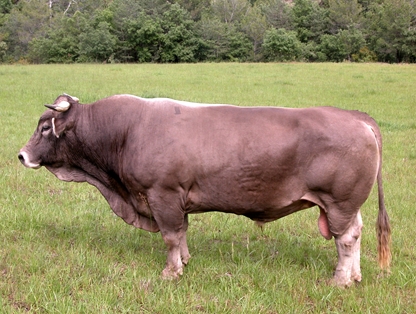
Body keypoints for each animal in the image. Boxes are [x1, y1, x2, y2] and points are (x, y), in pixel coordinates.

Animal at [18, 94, 390, 288]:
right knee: (356, 233)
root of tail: (356, 117)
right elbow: (181, 232)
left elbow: (170, 235)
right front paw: (184, 261)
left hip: (339, 201)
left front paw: (171, 272)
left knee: (345, 239)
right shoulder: (176, 198)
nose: (21, 155)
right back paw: (356, 275)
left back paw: (341, 279)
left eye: (44, 127)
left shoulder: (162, 194)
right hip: (347, 205)